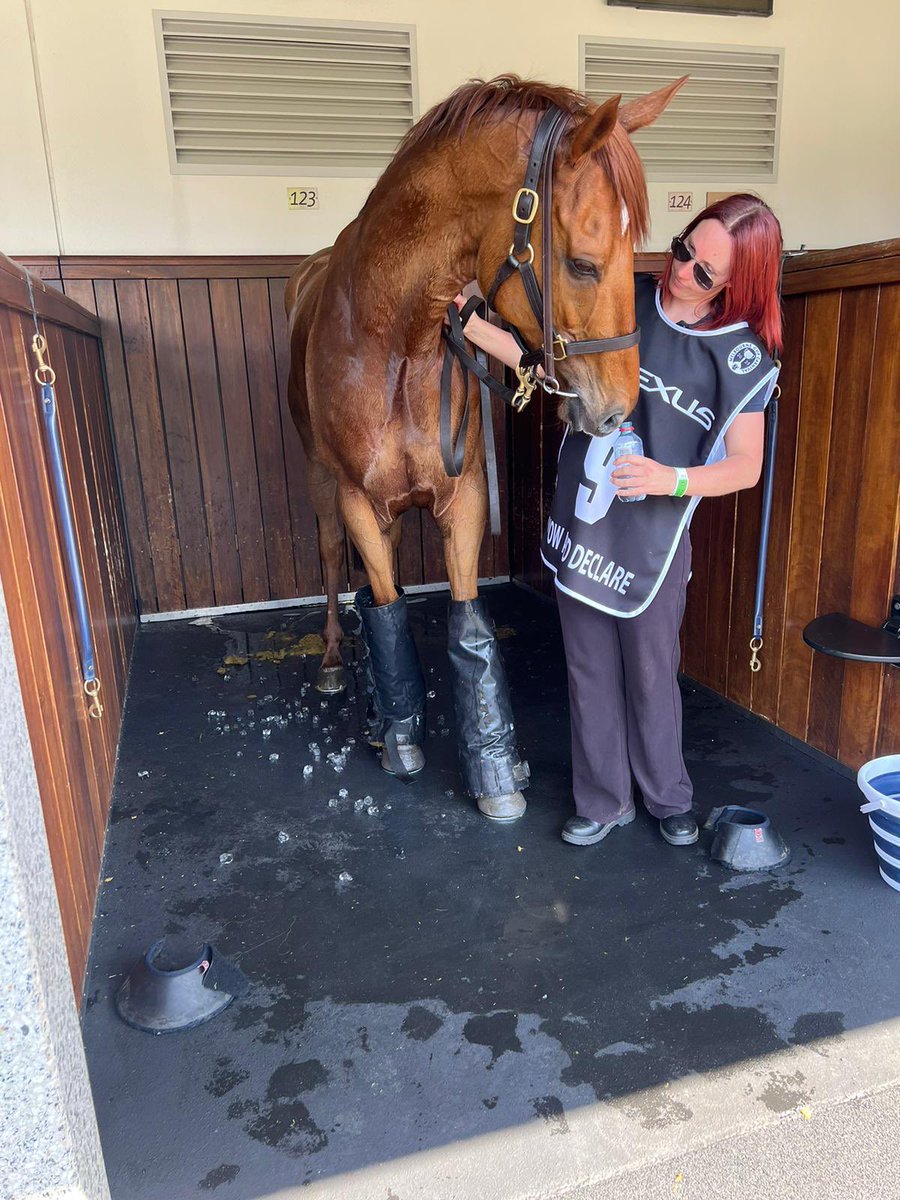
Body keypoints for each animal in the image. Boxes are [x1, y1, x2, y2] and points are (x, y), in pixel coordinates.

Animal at [285, 74, 684, 820]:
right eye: (584, 264)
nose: (616, 410)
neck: (392, 338)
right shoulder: (356, 500)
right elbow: (384, 601)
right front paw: (401, 738)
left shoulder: (463, 498)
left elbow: (464, 619)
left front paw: (495, 772)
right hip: (321, 486)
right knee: (332, 563)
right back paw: (332, 664)